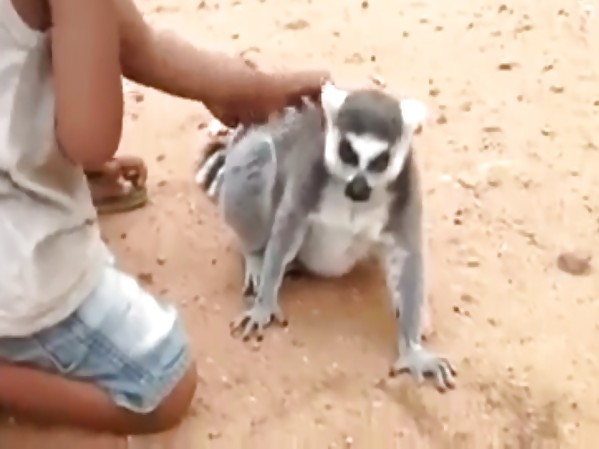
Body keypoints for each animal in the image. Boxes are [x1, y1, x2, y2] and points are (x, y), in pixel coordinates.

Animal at [196, 83, 456, 390]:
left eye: (381, 161)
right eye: (347, 152)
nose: (358, 187)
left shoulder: (405, 185)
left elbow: (406, 252)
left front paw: (414, 352)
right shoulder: (311, 169)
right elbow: (289, 222)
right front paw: (263, 305)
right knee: (258, 154)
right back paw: (256, 256)